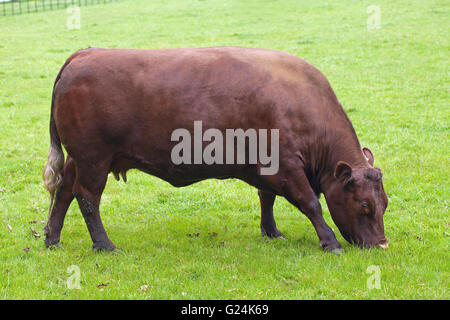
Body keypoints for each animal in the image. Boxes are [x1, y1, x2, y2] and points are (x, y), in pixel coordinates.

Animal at [44, 47, 388, 252]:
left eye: (384, 203)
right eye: (364, 205)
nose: (381, 244)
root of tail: (86, 54)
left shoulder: (268, 170)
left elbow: (267, 198)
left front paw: (271, 231)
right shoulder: (286, 167)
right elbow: (311, 204)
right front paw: (329, 241)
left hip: (78, 159)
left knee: (63, 191)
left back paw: (52, 238)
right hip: (93, 160)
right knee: (87, 198)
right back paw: (104, 244)